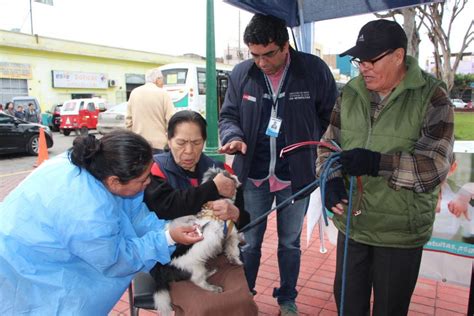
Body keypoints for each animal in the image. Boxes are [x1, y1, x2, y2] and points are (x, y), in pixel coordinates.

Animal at [152, 167, 243, 314]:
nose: (236, 176)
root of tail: (164, 266)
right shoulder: (232, 234)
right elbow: (233, 250)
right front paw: (237, 261)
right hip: (196, 269)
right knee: (199, 281)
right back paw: (213, 287)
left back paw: (211, 271)